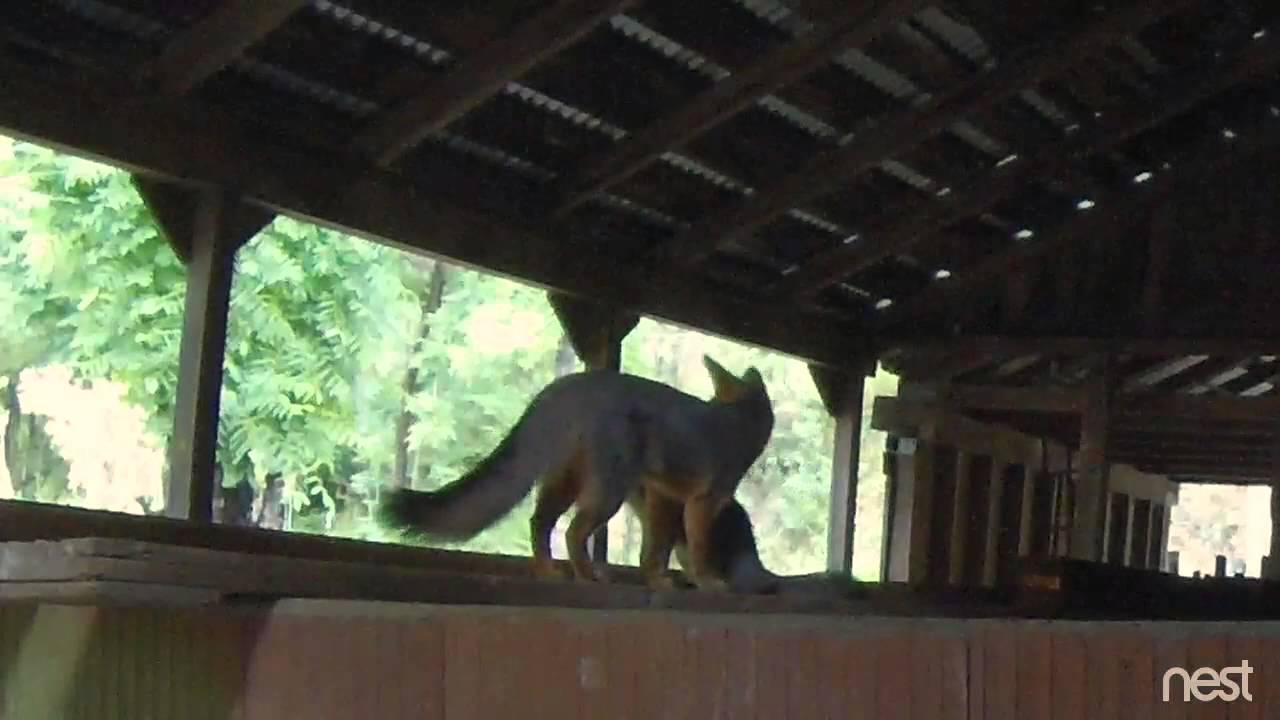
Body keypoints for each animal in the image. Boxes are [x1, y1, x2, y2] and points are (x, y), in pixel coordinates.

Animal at [378, 355, 774, 591]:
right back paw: (586, 576)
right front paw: (706, 580)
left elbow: (654, 552)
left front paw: (657, 580)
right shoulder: (702, 502)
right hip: (609, 494)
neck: (735, 422)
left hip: (567, 485)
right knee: (572, 532)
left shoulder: (664, 498)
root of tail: (577, 381)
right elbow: (697, 549)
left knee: (540, 523)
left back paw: (549, 573)